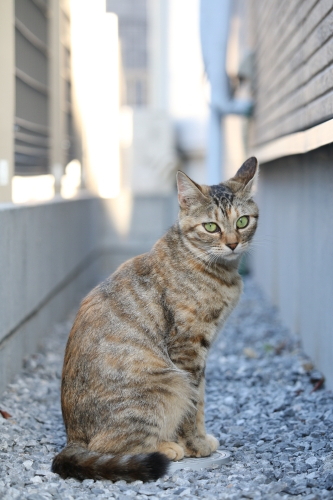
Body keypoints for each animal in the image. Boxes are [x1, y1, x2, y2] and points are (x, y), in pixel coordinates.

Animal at [52, 158, 258, 482]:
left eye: (242, 222)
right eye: (211, 227)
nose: (233, 244)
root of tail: (72, 438)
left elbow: (200, 401)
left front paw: (199, 439)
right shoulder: (188, 351)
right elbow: (194, 404)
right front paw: (195, 444)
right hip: (168, 383)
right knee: (110, 446)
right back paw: (166, 447)